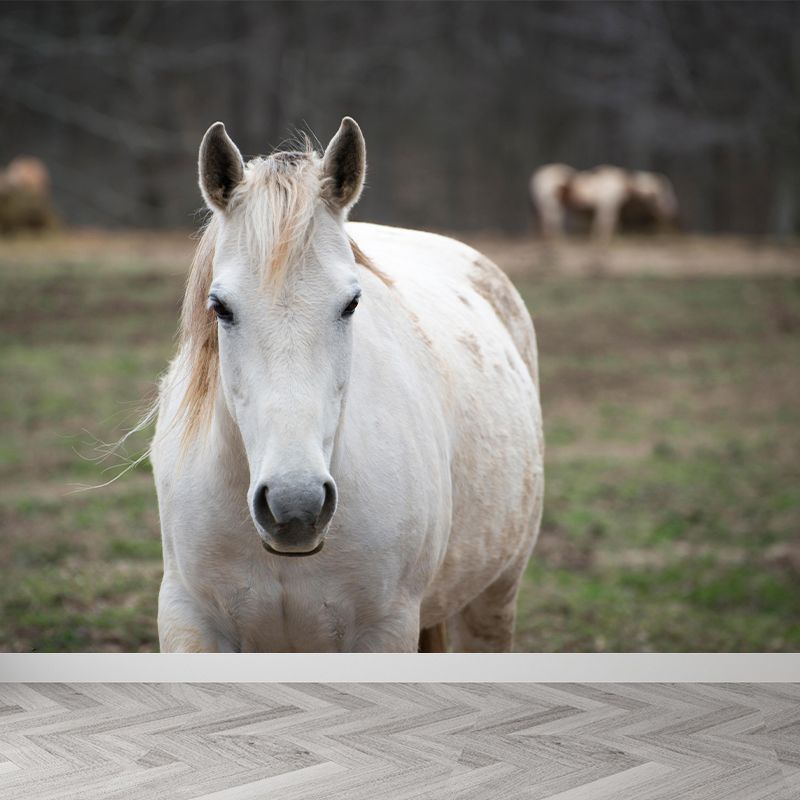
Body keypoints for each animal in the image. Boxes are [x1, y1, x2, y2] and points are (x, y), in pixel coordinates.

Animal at [151, 118, 544, 652]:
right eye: (221, 307)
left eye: (352, 303)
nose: (295, 505)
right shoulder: (188, 620)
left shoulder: (386, 629)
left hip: (493, 599)